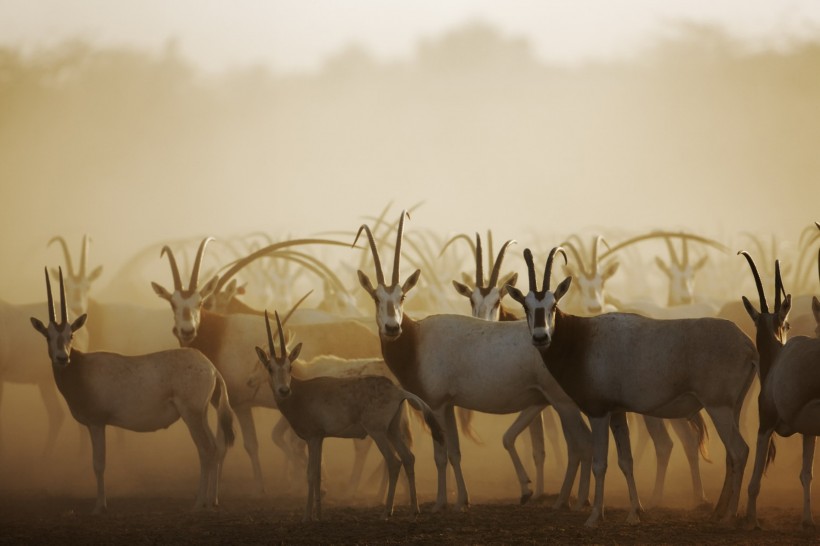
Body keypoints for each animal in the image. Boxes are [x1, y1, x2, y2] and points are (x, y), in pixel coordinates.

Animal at [256, 310, 446, 520]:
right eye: (270, 368)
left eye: (289, 367)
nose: (283, 390)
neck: (301, 390)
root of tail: (397, 391)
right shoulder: (320, 438)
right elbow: (318, 473)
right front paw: (319, 514)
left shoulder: (313, 437)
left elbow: (311, 474)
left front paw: (307, 516)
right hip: (393, 430)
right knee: (408, 458)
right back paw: (414, 508)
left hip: (378, 432)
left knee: (394, 462)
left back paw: (387, 511)